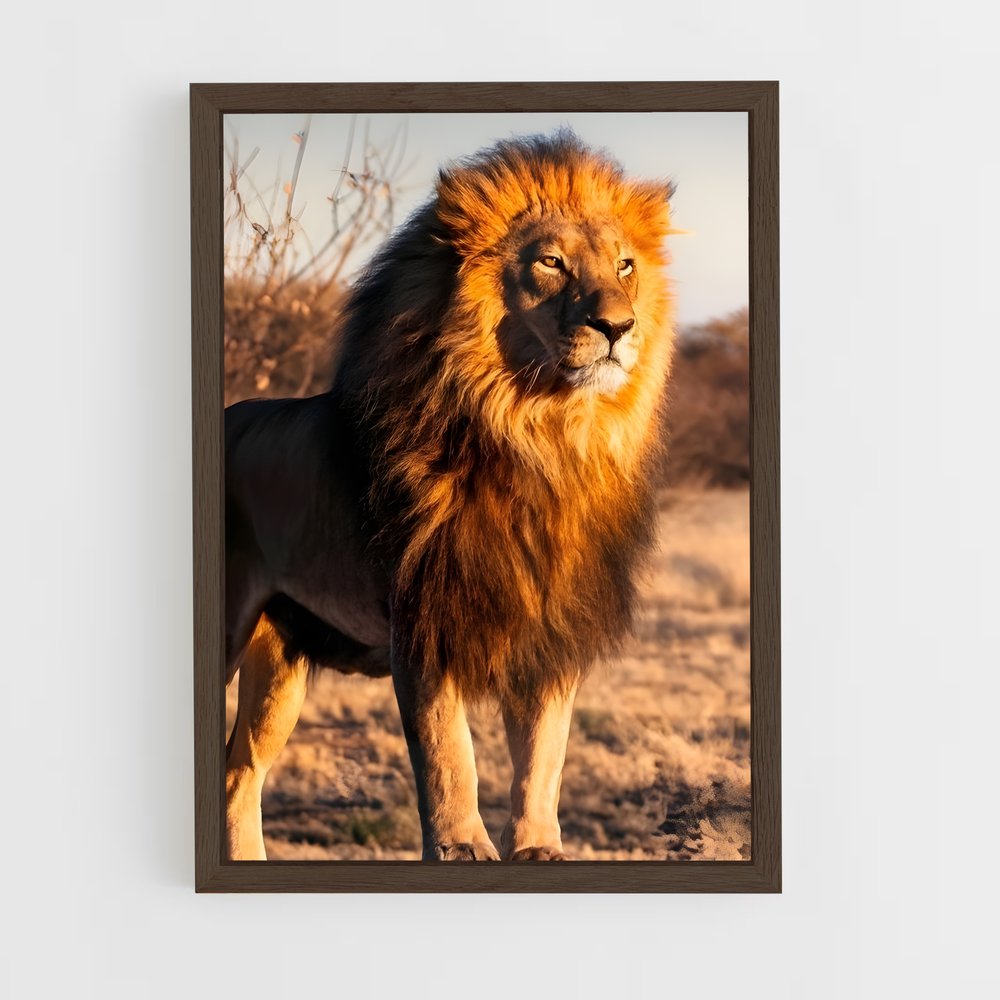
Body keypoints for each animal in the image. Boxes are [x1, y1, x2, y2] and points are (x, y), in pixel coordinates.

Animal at [224, 131, 676, 861]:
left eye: (626, 265)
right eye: (551, 262)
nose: (618, 326)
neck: (542, 438)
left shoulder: (551, 628)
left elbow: (545, 756)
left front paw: (540, 849)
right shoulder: (424, 618)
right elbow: (447, 750)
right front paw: (462, 846)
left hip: (279, 664)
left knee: (238, 774)